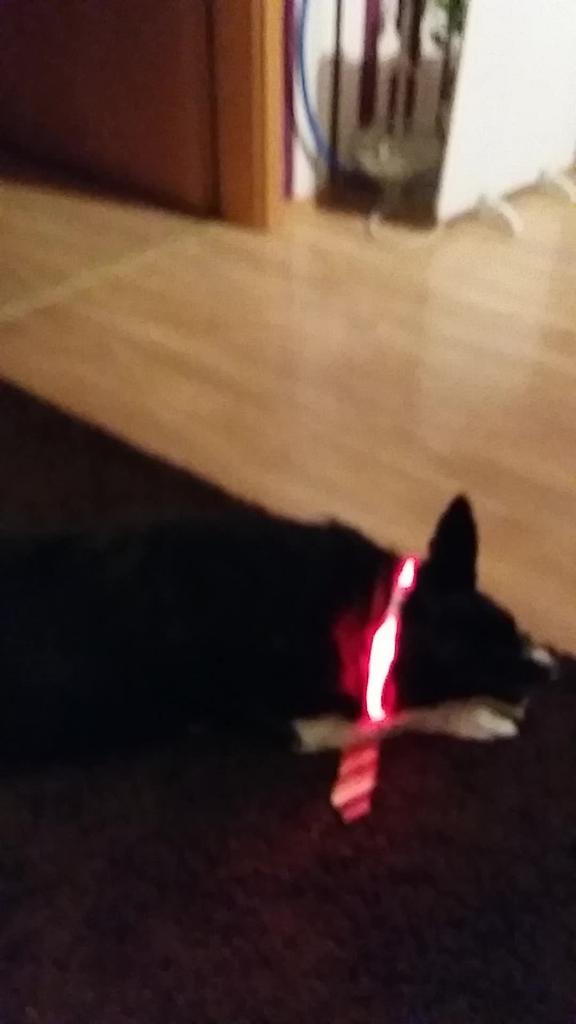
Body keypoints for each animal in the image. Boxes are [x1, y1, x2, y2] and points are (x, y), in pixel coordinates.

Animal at [0, 493, 555, 764]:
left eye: (514, 625)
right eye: (489, 668)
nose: (554, 671)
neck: (369, 605)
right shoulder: (298, 724)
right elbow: (402, 717)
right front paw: (478, 717)